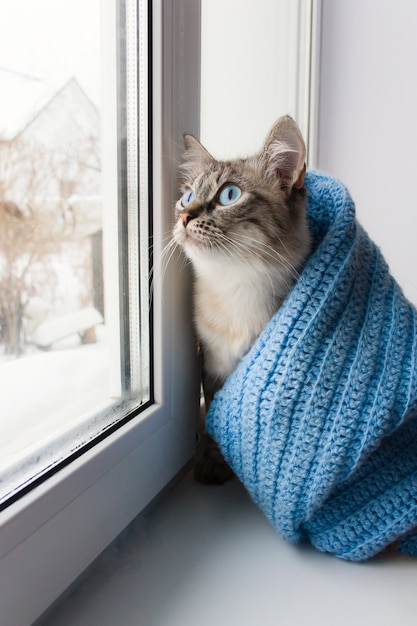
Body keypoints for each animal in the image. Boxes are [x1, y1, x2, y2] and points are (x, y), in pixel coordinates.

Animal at [171, 113, 310, 482]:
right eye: (187, 197)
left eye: (229, 195)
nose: (184, 216)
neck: (235, 284)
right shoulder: (212, 363)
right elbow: (214, 419)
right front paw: (212, 464)